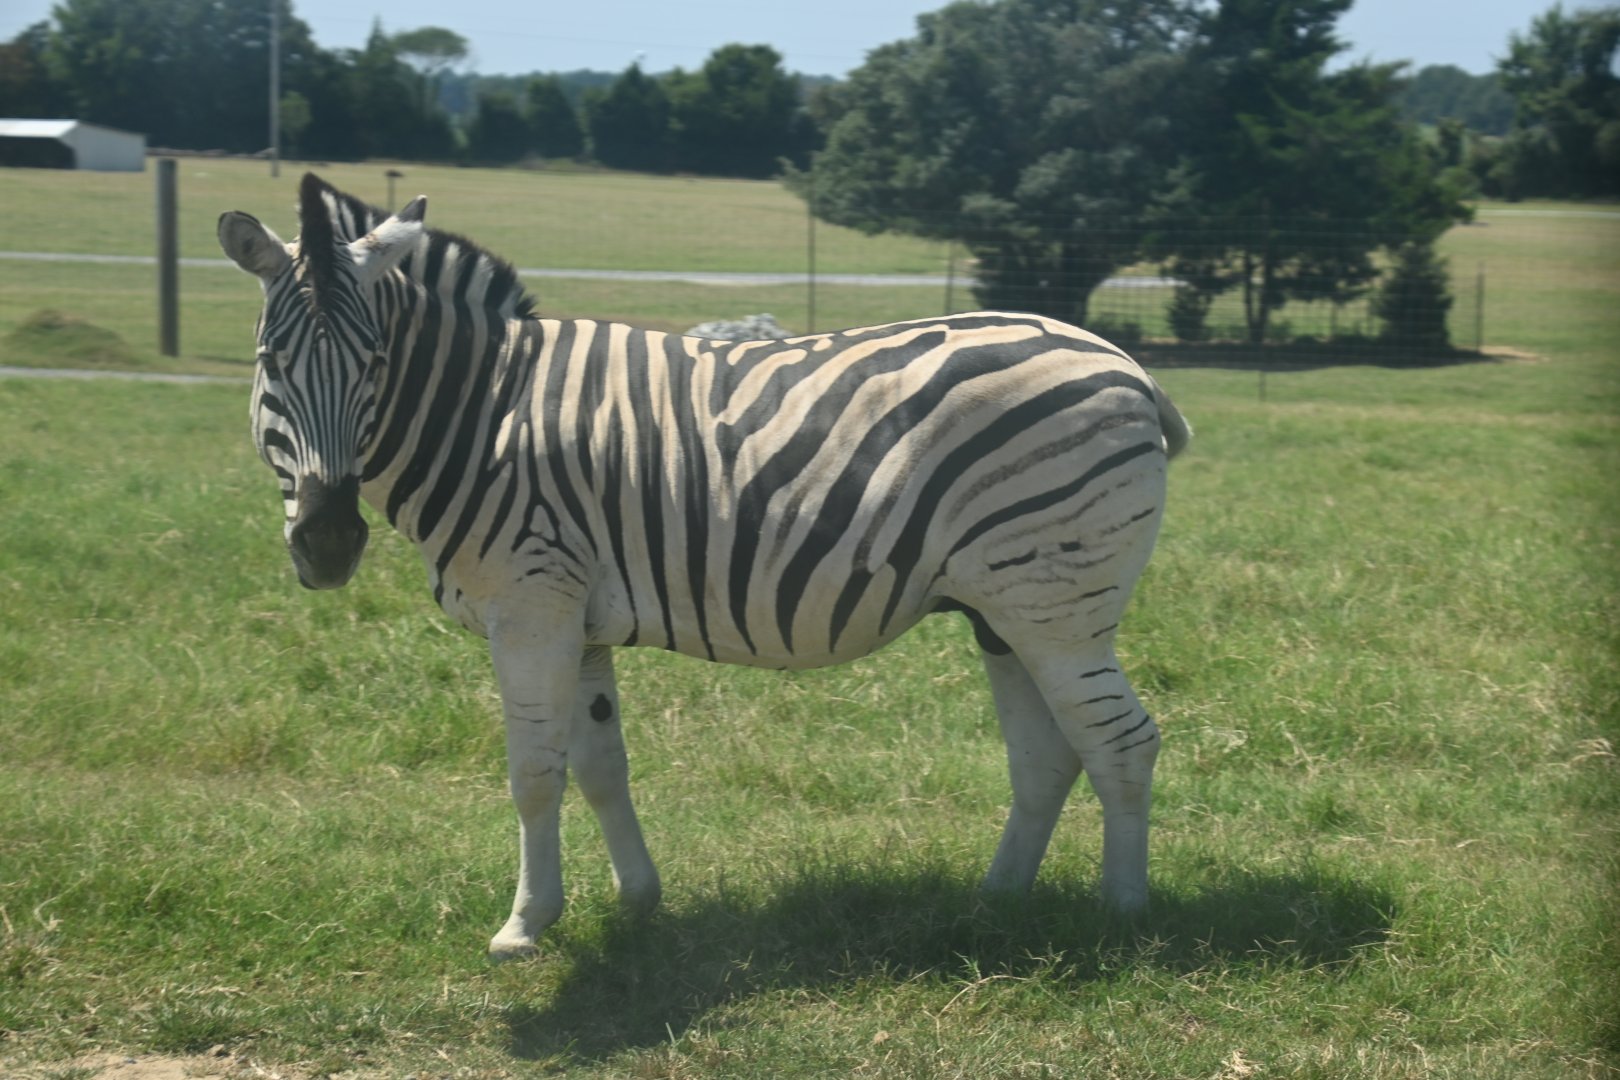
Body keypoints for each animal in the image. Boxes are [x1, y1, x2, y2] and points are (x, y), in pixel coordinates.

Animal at [218, 174, 1191, 958]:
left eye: (376, 363)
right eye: (271, 361)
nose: (328, 544)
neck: (483, 417)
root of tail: (1126, 365)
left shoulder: (531, 606)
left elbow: (535, 774)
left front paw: (525, 926)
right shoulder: (578, 616)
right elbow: (601, 765)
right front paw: (637, 901)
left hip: (1055, 603)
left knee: (1121, 742)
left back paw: (1123, 915)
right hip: (1003, 609)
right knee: (1049, 755)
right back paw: (998, 900)